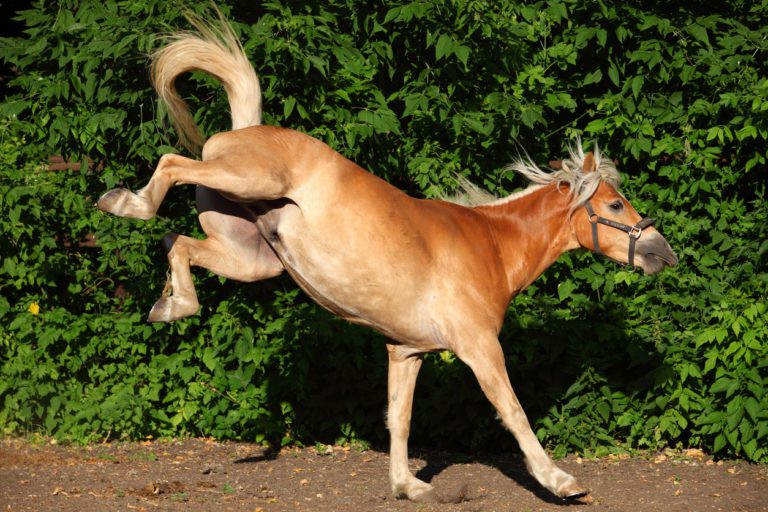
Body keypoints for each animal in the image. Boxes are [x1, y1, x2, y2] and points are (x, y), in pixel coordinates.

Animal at [96, 13, 678, 503]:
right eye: (615, 204)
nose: (663, 253)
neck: (491, 246)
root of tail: (247, 130)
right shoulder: (479, 348)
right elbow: (513, 412)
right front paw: (561, 482)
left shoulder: (406, 352)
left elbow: (400, 418)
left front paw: (408, 485)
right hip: (244, 180)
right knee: (171, 163)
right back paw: (125, 204)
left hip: (252, 258)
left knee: (179, 244)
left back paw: (170, 305)